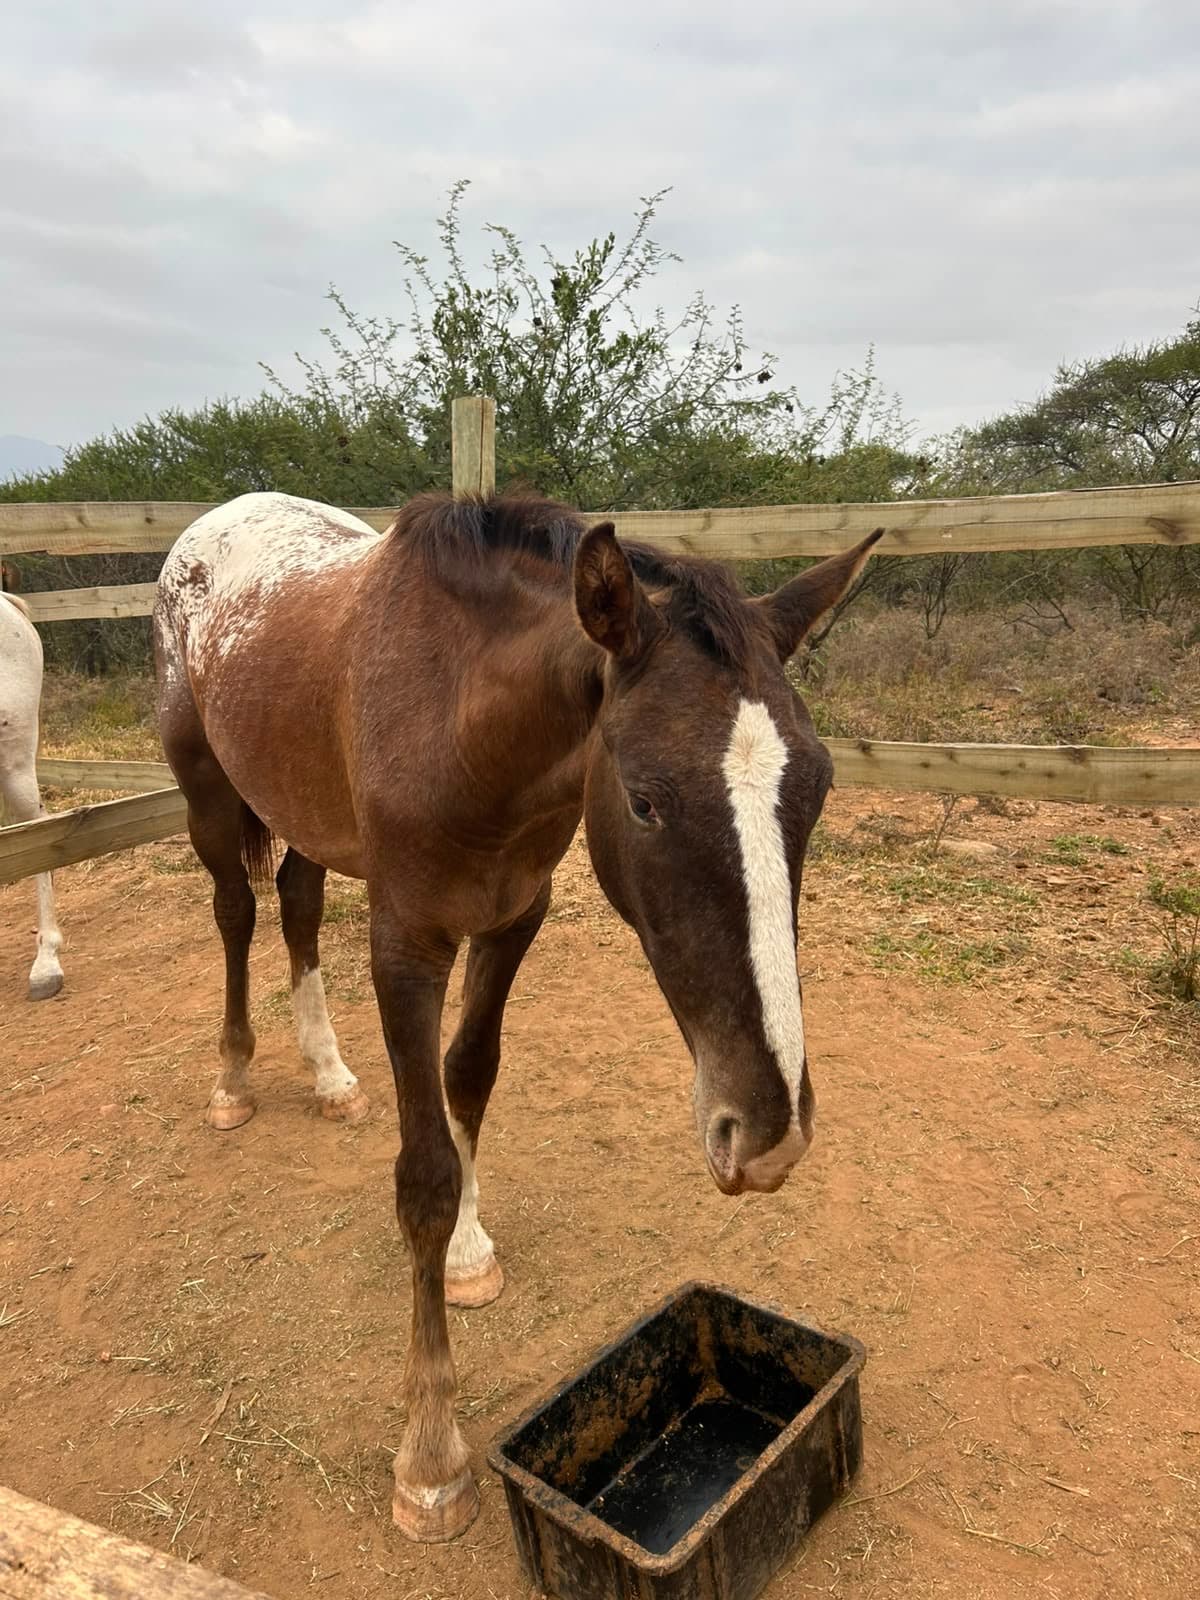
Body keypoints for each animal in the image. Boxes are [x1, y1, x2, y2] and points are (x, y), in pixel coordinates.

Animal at [153, 489, 880, 1543]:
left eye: (818, 788)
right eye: (645, 801)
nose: (769, 1133)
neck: (460, 716)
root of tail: (213, 524)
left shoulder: (511, 920)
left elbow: (471, 1078)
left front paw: (468, 1255)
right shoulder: (406, 947)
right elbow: (421, 1175)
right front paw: (429, 1460)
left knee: (294, 902)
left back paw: (329, 1077)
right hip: (208, 795)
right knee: (236, 910)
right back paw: (234, 1078)